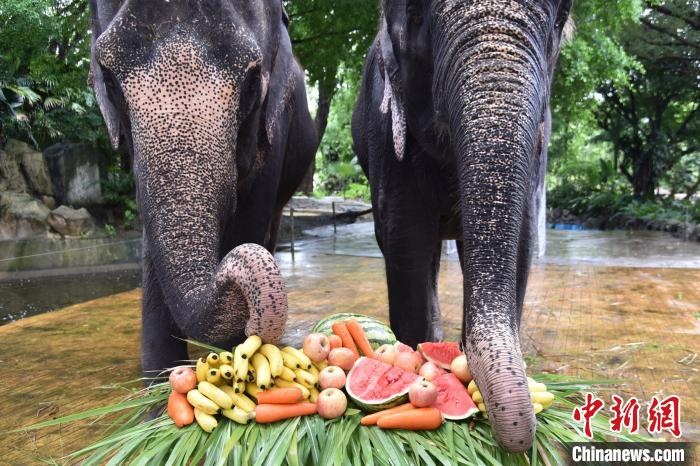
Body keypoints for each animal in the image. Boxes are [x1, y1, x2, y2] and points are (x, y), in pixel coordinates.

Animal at [88, 0, 318, 374]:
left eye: (253, 82)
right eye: (108, 80)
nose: (252, 325)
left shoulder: (274, 130)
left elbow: (249, 218)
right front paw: (160, 381)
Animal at [352, 0, 572, 452]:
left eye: (559, 21)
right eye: (416, 15)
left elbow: (522, 242)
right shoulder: (389, 132)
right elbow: (404, 237)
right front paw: (420, 354)